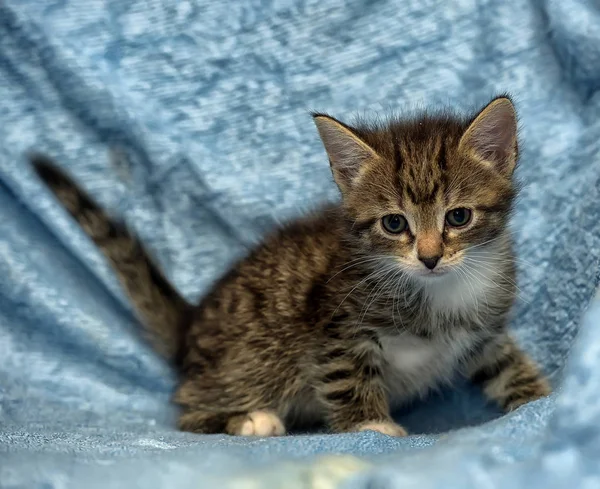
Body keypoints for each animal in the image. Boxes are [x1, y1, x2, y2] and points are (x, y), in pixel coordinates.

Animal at [31, 95, 548, 434]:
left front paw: (540, 397)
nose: (429, 256)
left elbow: (505, 364)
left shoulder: (484, 328)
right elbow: (346, 378)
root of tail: (190, 325)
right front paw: (371, 427)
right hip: (251, 359)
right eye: (394, 223)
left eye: (458, 217)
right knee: (187, 409)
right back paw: (247, 419)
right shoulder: (335, 329)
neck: (441, 291)